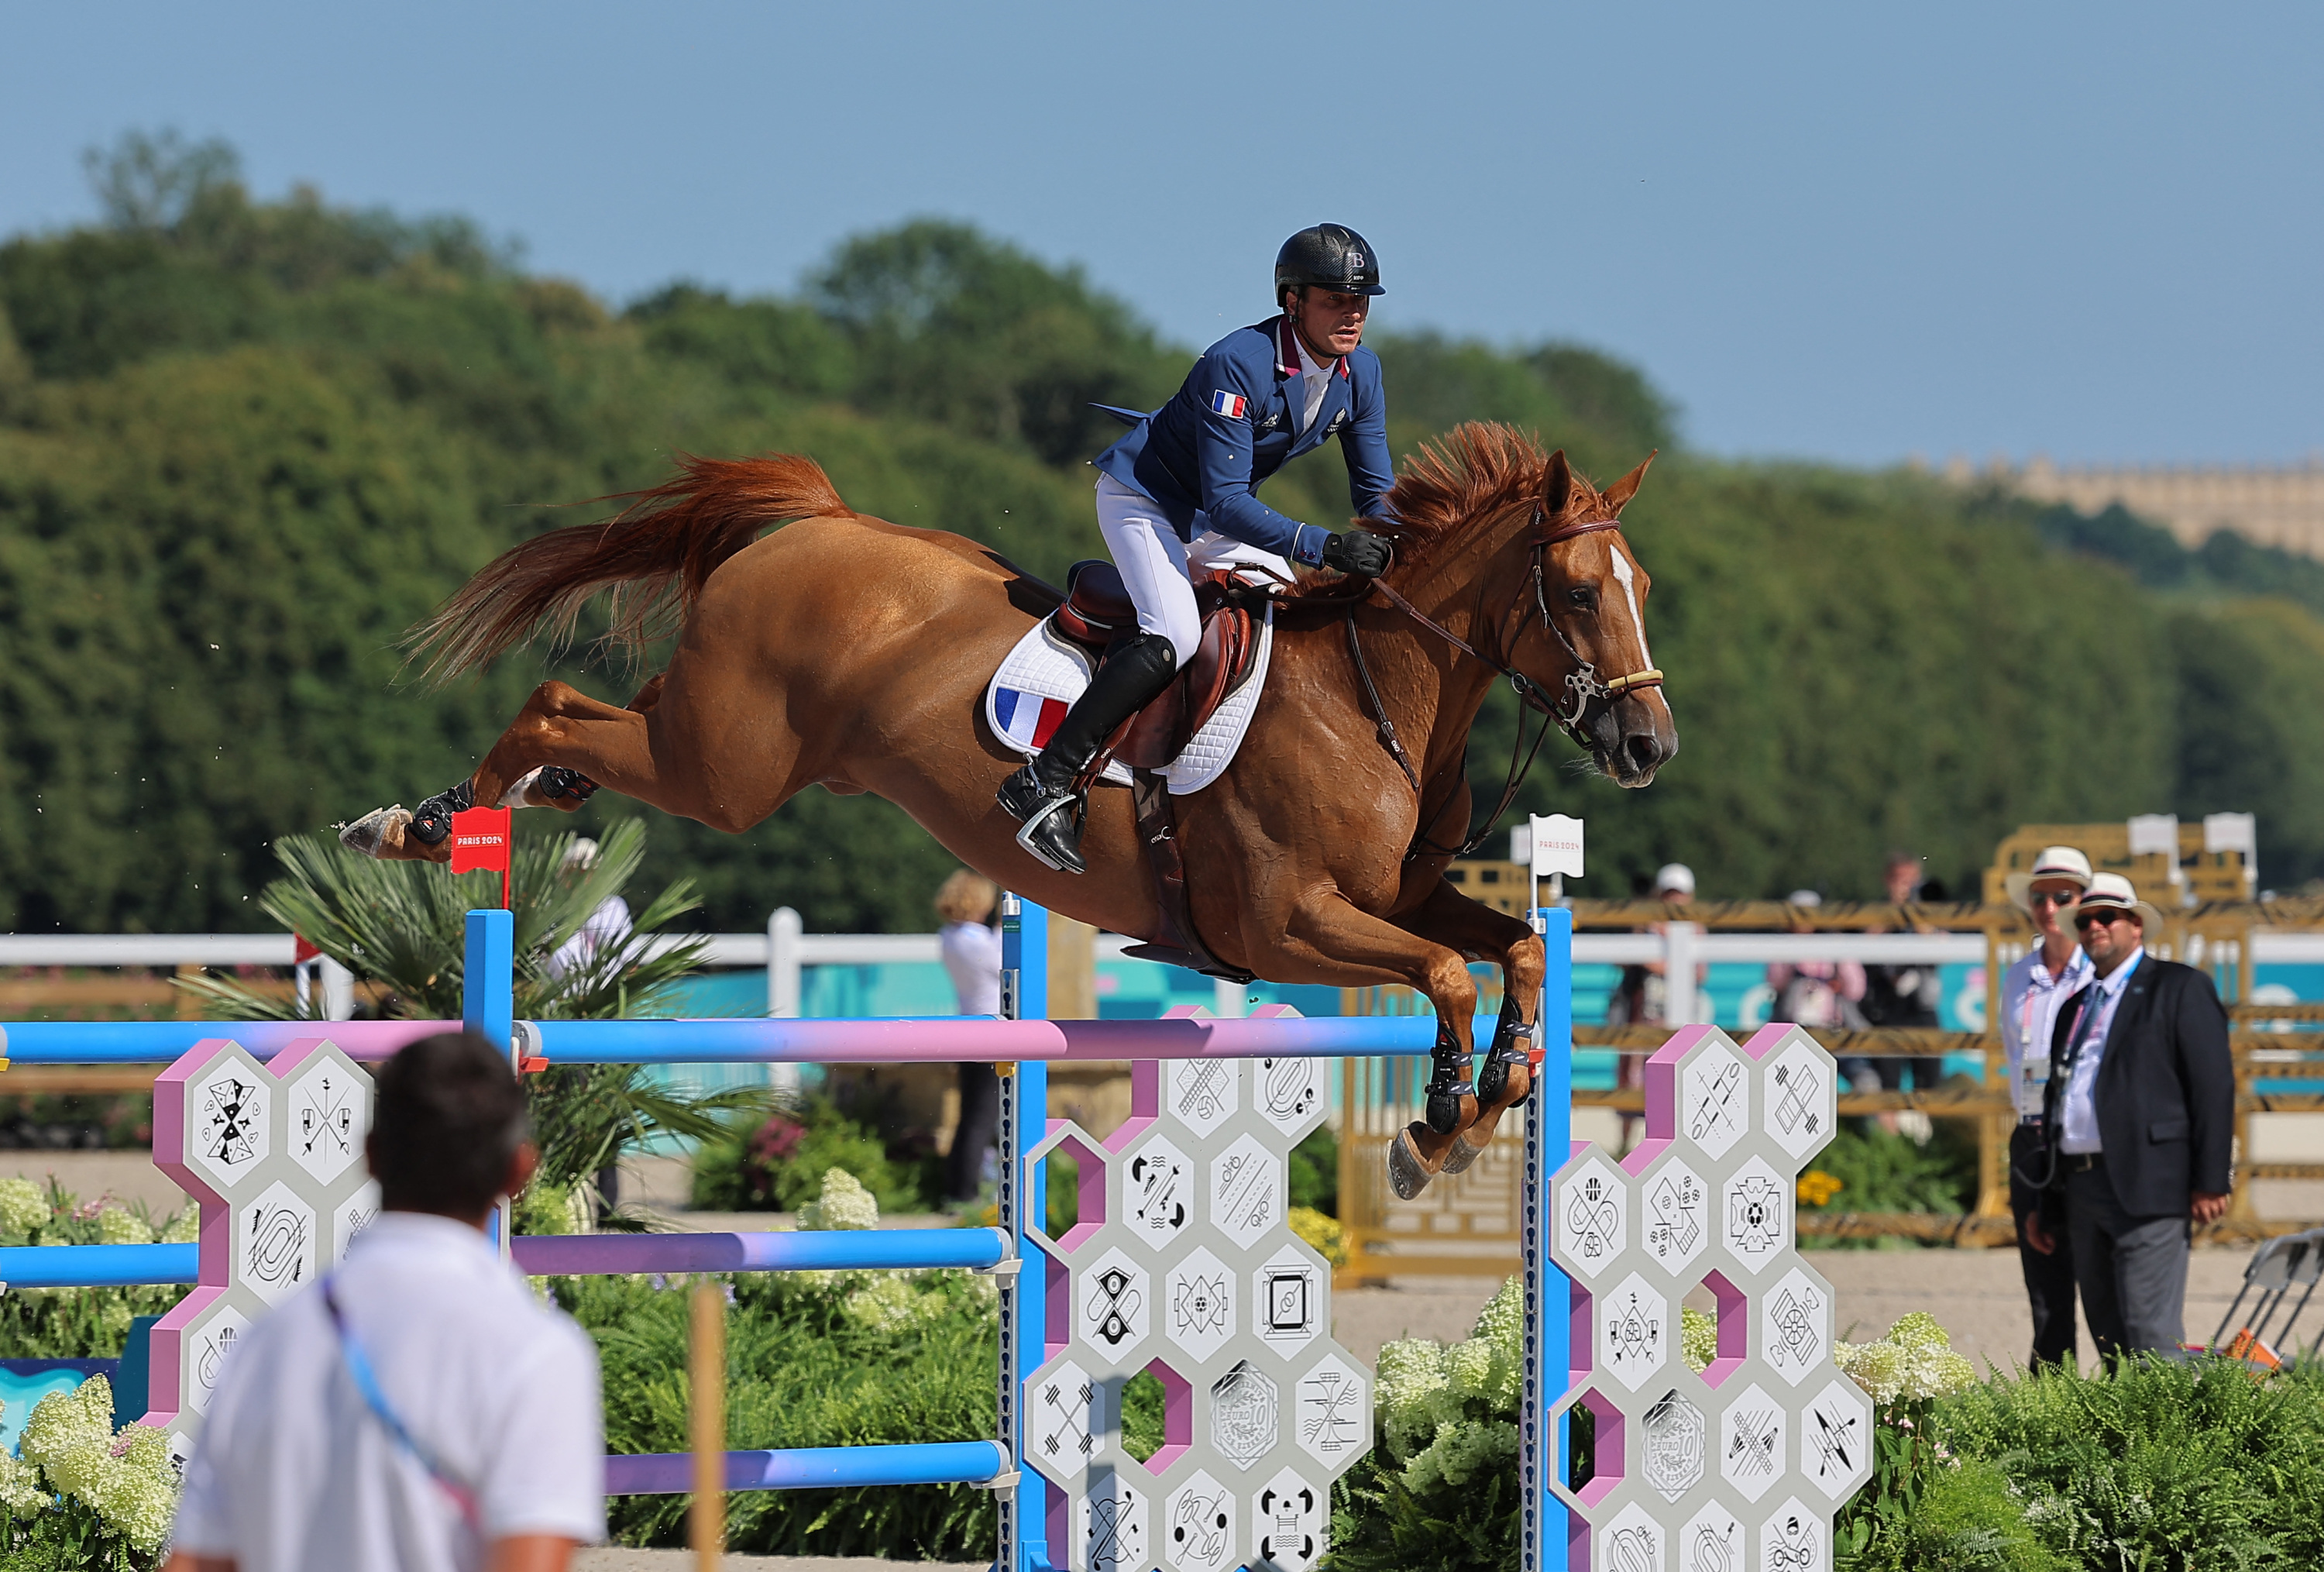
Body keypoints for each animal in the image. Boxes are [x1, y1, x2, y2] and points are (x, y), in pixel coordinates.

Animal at [344, 423, 1683, 1185]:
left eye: (1645, 585)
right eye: (1576, 591)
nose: (1647, 742)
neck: (1377, 696)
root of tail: (821, 519)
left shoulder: (1400, 898)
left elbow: (1514, 949)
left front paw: (1494, 1095)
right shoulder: (1284, 923)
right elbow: (1448, 975)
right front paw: (1438, 1122)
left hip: (713, 748)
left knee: (586, 723)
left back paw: (477, 806)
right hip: (720, 770)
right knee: (553, 700)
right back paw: (429, 826)